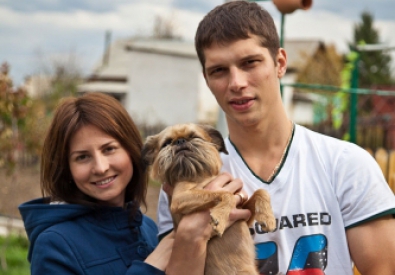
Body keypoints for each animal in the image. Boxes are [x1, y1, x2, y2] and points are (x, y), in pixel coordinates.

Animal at [142, 124, 276, 274]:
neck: (198, 174)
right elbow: (226, 194)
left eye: (194, 136)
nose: (180, 141)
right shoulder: (179, 198)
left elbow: (261, 191)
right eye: (166, 143)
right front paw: (220, 218)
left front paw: (268, 218)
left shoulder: (244, 214)